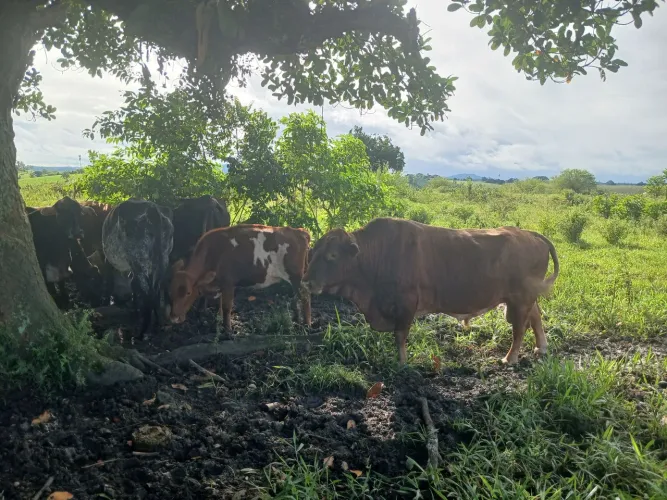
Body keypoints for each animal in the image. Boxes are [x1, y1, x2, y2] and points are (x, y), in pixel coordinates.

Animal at [102, 199, 174, 334]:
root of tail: (153, 209)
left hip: (139, 262)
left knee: (148, 295)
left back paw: (142, 332)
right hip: (162, 260)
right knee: (156, 292)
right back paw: (158, 323)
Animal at [168, 225, 312, 331]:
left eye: (188, 292)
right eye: (171, 291)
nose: (174, 318)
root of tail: (298, 231)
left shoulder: (228, 283)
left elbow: (227, 306)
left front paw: (228, 330)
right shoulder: (221, 285)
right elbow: (221, 305)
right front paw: (219, 322)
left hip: (295, 276)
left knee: (305, 296)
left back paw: (307, 324)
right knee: (297, 296)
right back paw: (297, 319)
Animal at [303, 218, 559, 365]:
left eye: (332, 255)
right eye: (313, 251)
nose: (306, 281)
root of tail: (528, 233)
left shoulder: (407, 303)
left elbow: (400, 336)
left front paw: (402, 363)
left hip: (520, 300)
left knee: (520, 328)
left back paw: (510, 358)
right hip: (525, 298)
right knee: (536, 317)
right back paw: (542, 348)